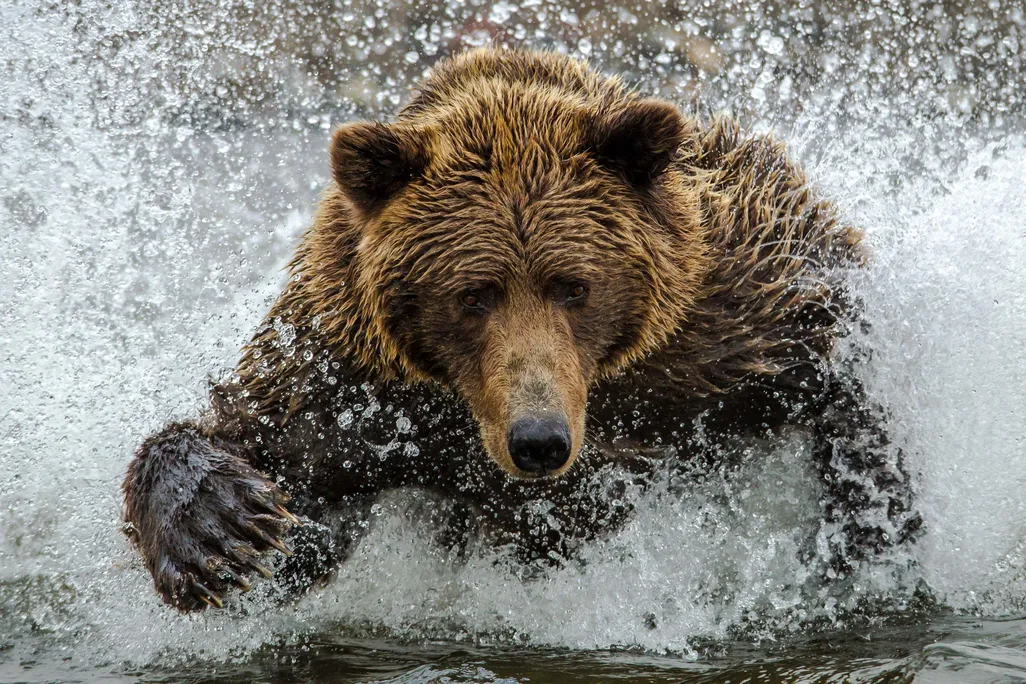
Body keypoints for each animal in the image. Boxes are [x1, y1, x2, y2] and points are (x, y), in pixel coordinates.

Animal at [122, 47, 921, 612]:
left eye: (575, 286)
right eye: (473, 294)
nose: (539, 439)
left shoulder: (732, 313)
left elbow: (835, 369)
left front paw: (867, 536)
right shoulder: (352, 385)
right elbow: (267, 449)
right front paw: (220, 531)